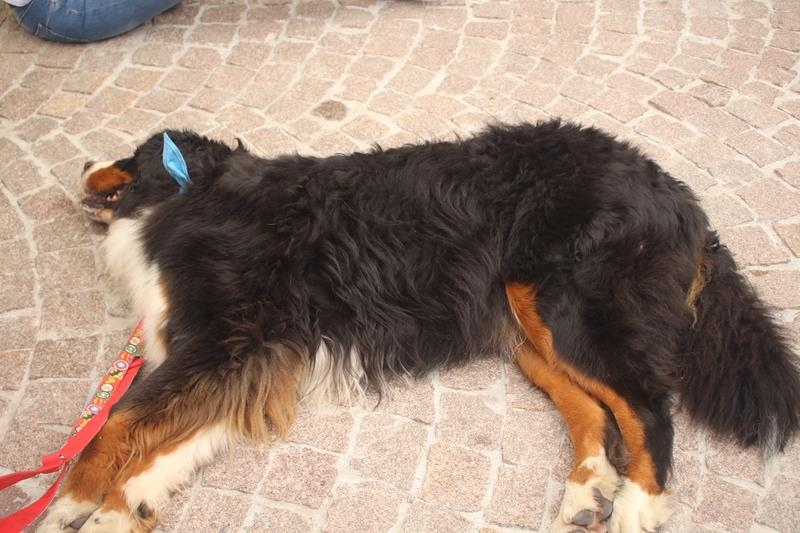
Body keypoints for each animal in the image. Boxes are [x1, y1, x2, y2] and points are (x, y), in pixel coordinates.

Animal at [39, 121, 800, 533]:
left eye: (129, 155)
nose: (81, 162)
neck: (198, 195)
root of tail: (672, 189)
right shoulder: (249, 361)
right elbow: (164, 444)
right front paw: (121, 506)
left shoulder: (224, 342)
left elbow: (115, 426)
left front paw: (67, 502)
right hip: (524, 324)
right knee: (592, 411)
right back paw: (586, 493)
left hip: (566, 303)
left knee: (646, 409)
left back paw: (640, 505)